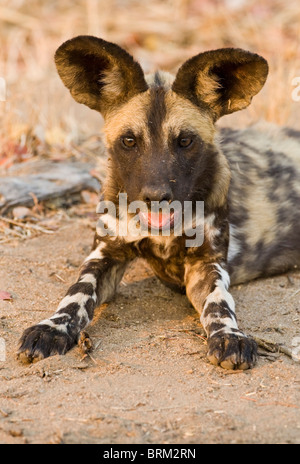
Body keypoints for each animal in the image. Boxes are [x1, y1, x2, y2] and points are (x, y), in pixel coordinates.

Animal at [17, 35, 300, 370]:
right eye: (129, 141)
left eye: (185, 141)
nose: (156, 196)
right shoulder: (105, 255)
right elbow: (77, 293)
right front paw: (53, 326)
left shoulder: (207, 264)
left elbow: (218, 304)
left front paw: (229, 335)